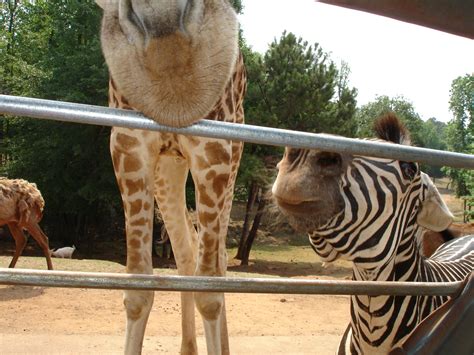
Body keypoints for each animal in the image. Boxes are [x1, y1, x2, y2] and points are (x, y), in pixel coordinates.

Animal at [95, 1, 246, 354]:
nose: (163, 22)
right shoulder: (128, 145)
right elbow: (137, 288)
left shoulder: (214, 149)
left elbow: (210, 290)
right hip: (167, 169)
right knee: (187, 250)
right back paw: (187, 347)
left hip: (234, 156)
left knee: (219, 258)